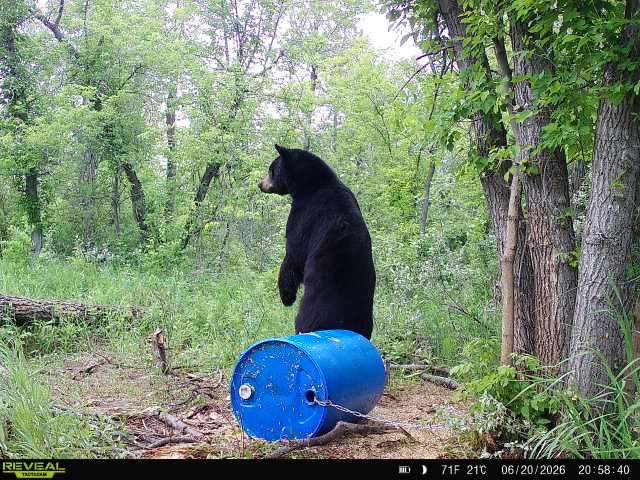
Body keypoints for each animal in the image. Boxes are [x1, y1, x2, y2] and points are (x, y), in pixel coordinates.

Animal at [258, 144, 376, 339]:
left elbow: (293, 253)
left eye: (271, 170)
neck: (311, 184)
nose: (260, 184)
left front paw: (286, 295)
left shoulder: (303, 215)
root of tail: (340, 323)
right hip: (364, 315)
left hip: (312, 308)